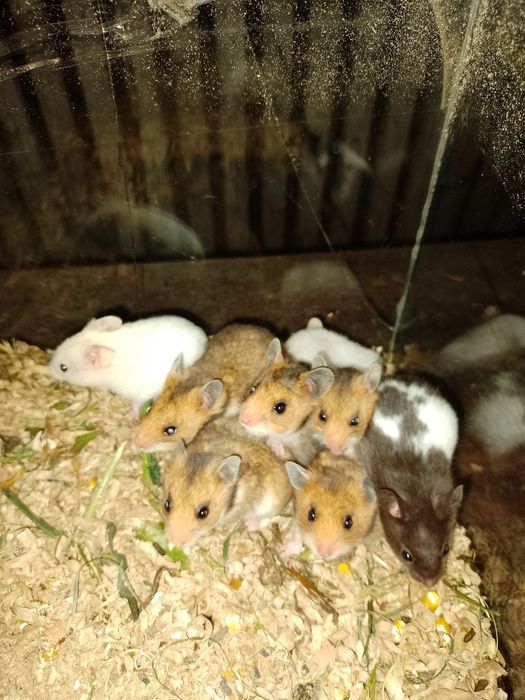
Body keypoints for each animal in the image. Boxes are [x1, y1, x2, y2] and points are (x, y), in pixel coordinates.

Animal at [49, 315, 207, 410]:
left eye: (63, 368)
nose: (48, 368)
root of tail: (204, 335)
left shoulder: (140, 392)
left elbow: (137, 404)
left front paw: (130, 417)